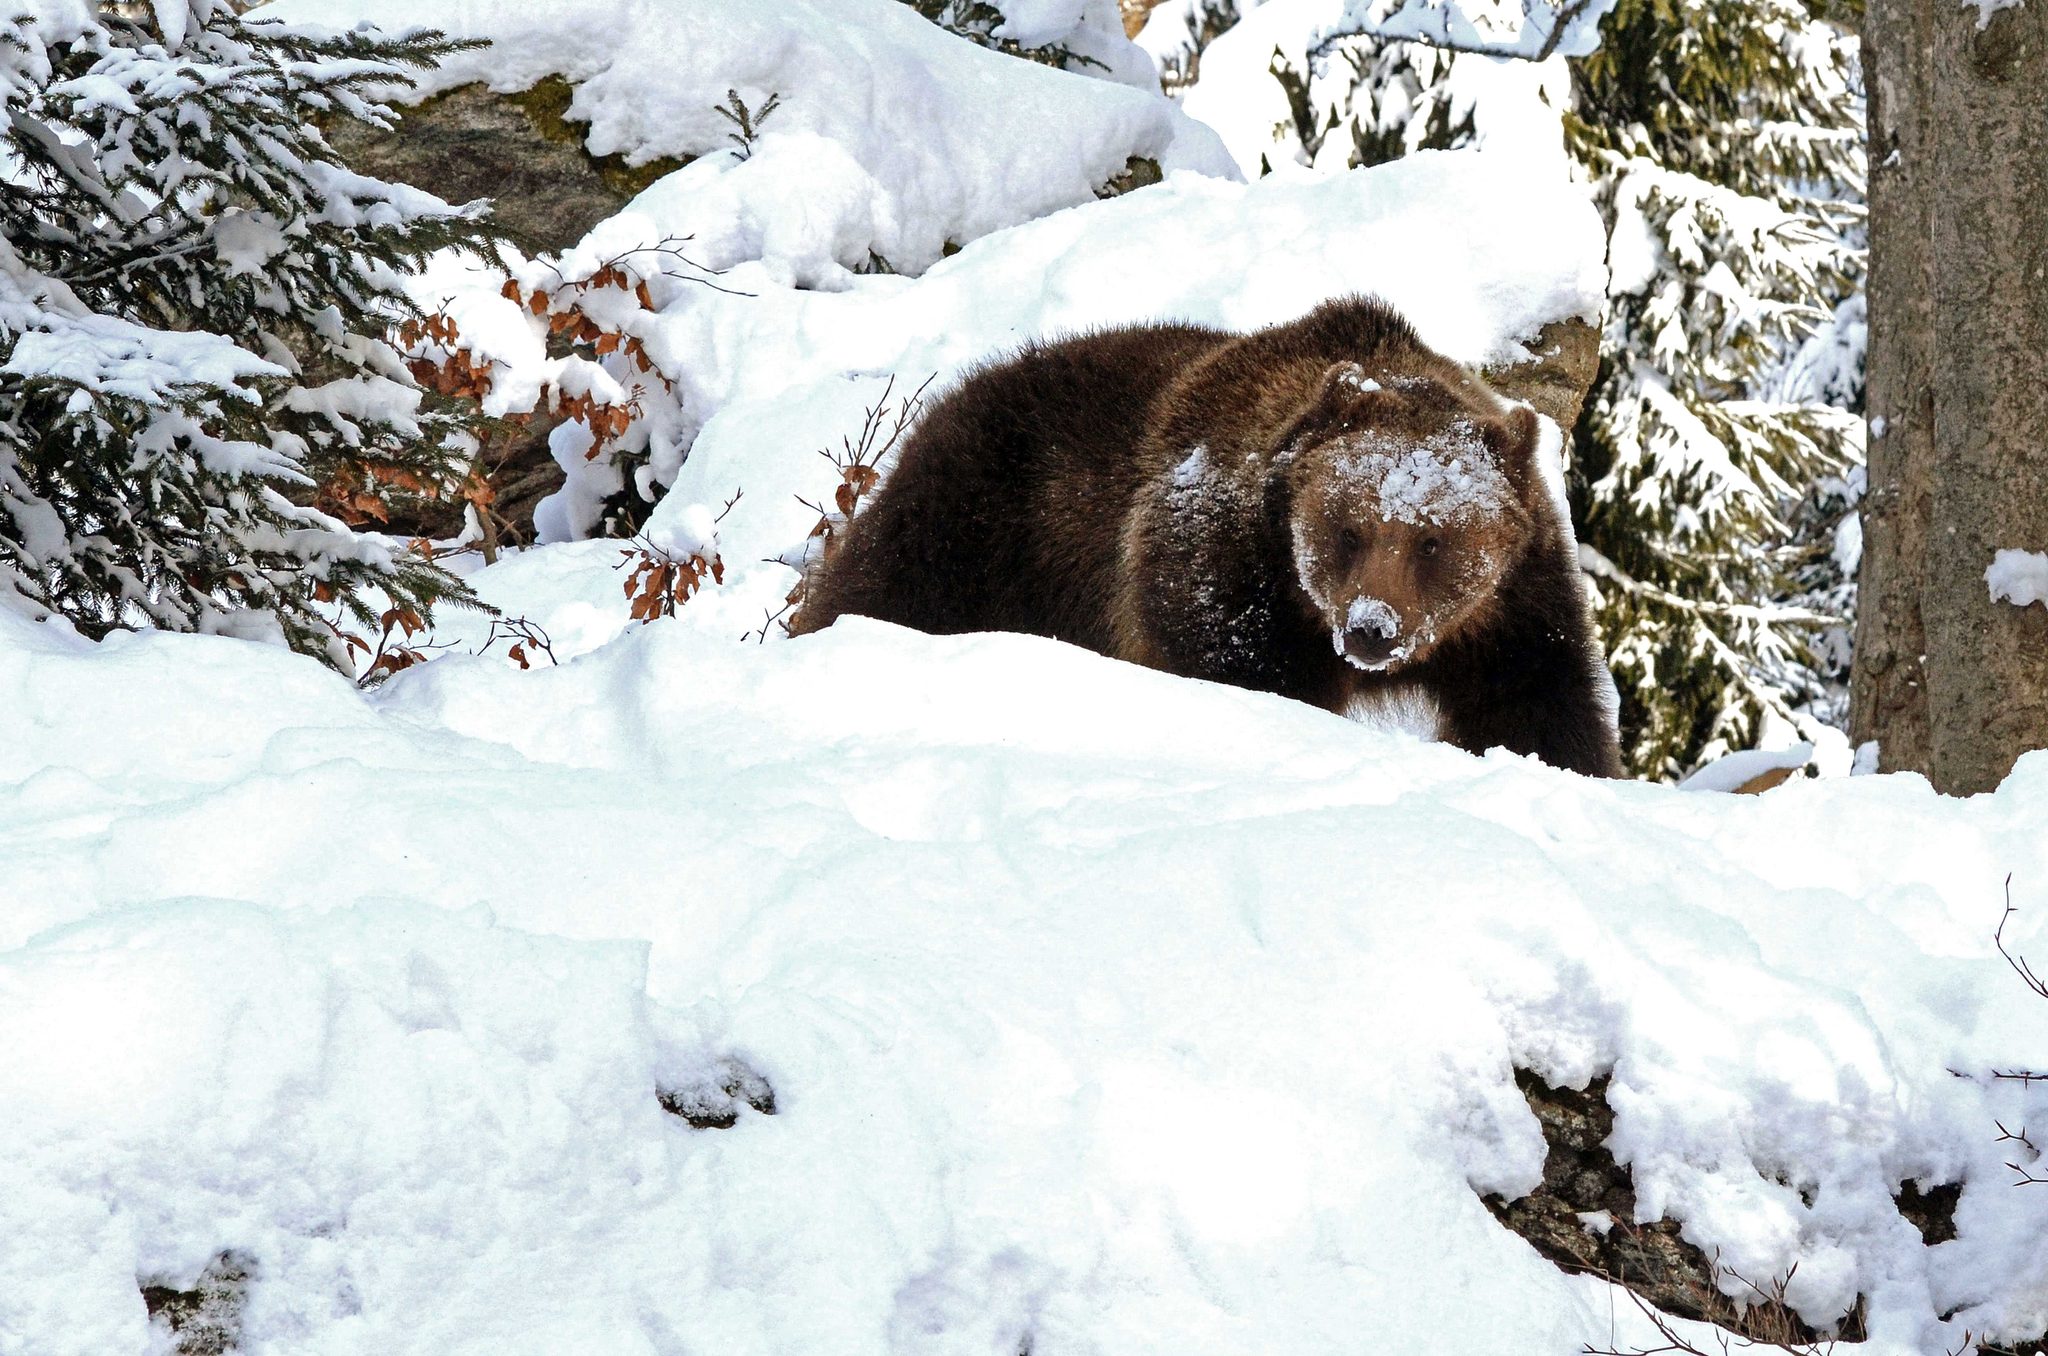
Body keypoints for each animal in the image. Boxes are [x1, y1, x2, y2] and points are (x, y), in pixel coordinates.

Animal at [790, 295, 1623, 778]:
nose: (1372, 630)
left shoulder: (1512, 609)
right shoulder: (1220, 569)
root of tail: (955, 391)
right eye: (1348, 530)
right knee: (888, 586)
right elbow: (1237, 677)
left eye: (1434, 543)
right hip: (982, 519)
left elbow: (1542, 711)